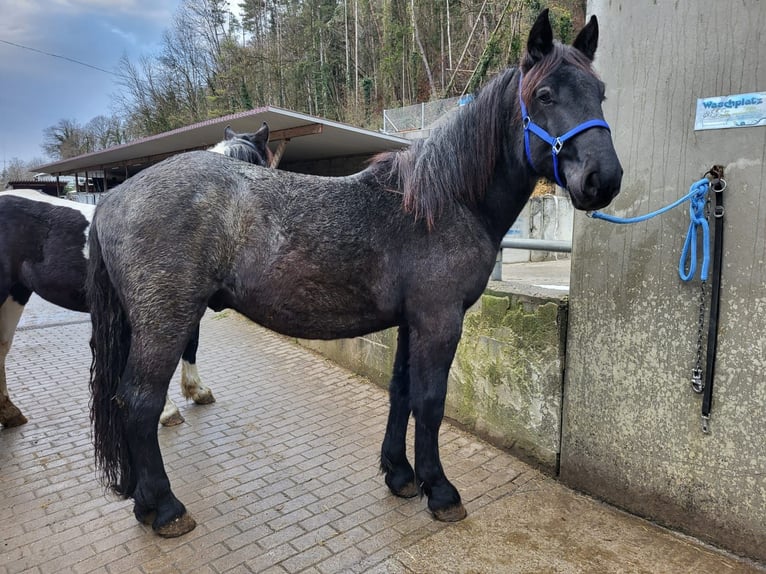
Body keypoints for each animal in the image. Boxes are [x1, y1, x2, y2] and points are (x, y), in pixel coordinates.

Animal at [85, 10, 624, 540]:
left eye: (600, 93)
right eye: (545, 94)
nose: (604, 180)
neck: (442, 202)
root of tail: (113, 197)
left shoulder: (411, 321)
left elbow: (402, 392)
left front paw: (401, 476)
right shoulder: (439, 320)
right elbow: (431, 401)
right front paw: (440, 491)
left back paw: (145, 504)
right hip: (165, 324)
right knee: (139, 402)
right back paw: (165, 508)